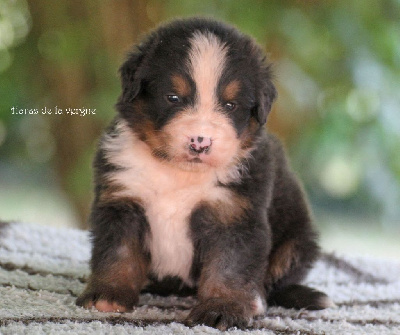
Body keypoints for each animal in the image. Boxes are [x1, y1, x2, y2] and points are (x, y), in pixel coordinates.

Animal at [76, 17, 332, 330]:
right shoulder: (123, 200)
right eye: (173, 97)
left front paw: (222, 307)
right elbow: (118, 253)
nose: (201, 141)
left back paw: (261, 300)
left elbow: (229, 266)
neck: (178, 174)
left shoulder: (233, 214)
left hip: (296, 240)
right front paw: (108, 294)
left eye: (231, 105)